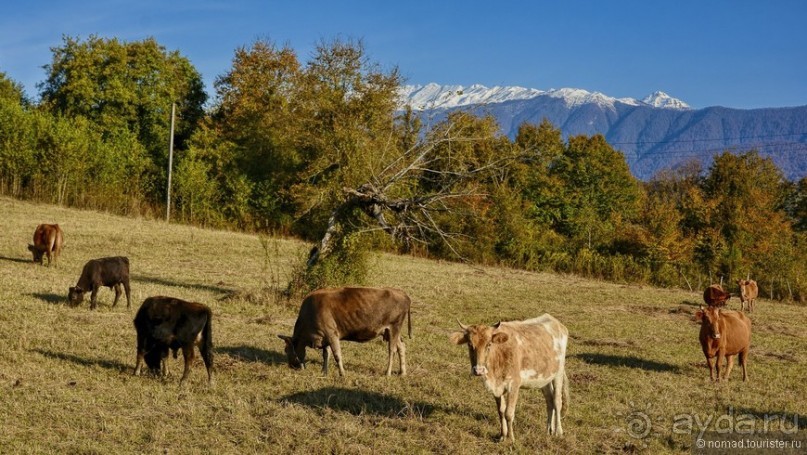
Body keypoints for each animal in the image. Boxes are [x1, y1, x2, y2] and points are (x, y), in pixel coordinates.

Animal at [280, 288, 416, 378]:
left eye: (286, 350)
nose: (291, 366)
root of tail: (403, 294)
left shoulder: (332, 334)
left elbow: (337, 355)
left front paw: (342, 373)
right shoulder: (325, 337)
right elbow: (326, 354)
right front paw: (324, 371)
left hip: (394, 327)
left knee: (392, 350)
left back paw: (388, 373)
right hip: (390, 332)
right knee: (401, 347)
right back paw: (402, 372)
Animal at [452, 316, 572, 444]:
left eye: (489, 344)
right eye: (470, 344)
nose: (478, 370)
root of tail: (554, 320)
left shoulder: (514, 385)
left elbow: (509, 413)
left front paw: (511, 438)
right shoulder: (497, 388)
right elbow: (501, 412)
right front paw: (502, 436)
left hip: (558, 373)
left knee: (557, 401)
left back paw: (558, 432)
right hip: (545, 378)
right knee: (549, 401)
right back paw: (549, 430)